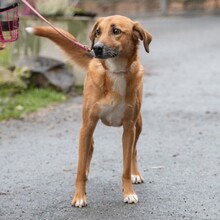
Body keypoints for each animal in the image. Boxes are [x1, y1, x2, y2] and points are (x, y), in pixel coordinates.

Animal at [26, 14, 151, 207]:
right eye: (98, 31)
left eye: (116, 31)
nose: (96, 48)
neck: (115, 72)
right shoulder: (87, 125)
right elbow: (79, 166)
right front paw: (79, 196)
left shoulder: (129, 127)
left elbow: (125, 165)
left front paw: (129, 192)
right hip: (89, 127)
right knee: (89, 148)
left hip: (138, 124)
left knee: (133, 151)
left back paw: (135, 174)